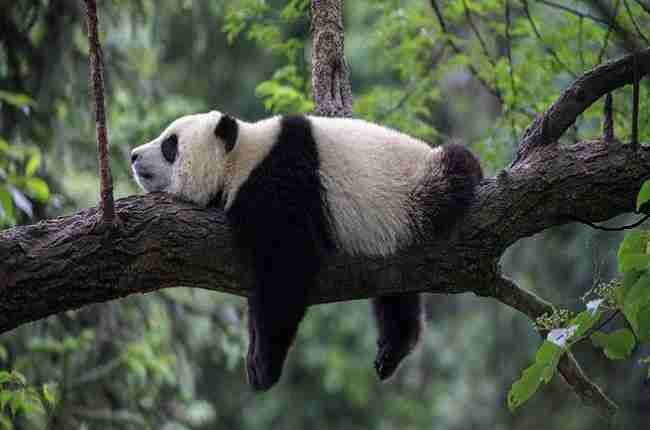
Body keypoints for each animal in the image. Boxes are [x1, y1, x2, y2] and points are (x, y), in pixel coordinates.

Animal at [129, 110, 480, 390]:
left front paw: (263, 366)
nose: (133, 155)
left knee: (456, 166)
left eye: (170, 145)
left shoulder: (280, 184)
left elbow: (286, 269)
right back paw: (393, 349)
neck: (243, 157)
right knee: (395, 295)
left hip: (418, 188)